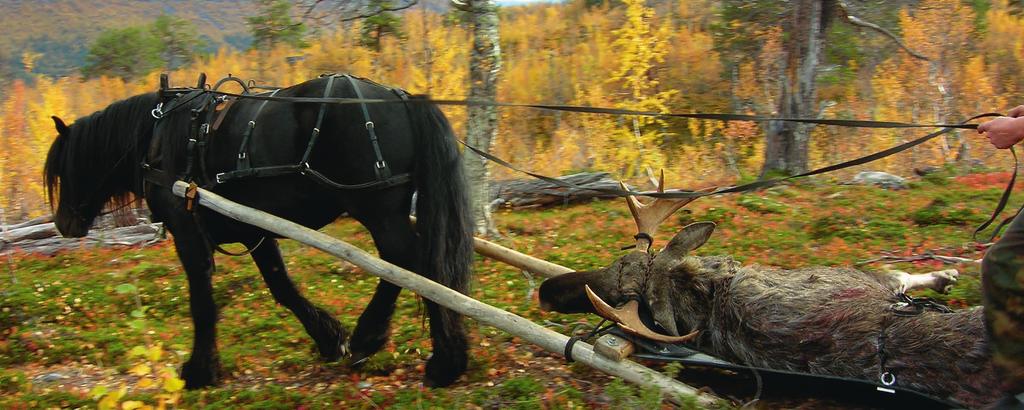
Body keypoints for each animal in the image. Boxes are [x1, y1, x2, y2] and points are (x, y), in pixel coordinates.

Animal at [44, 75, 475, 387]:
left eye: (66, 168)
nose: (64, 224)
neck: (160, 136)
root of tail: (400, 97)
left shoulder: (187, 231)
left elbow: (202, 302)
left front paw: (200, 371)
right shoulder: (254, 230)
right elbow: (281, 287)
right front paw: (328, 337)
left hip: (377, 208)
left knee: (408, 263)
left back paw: (395, 346)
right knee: (425, 266)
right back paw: (442, 358)